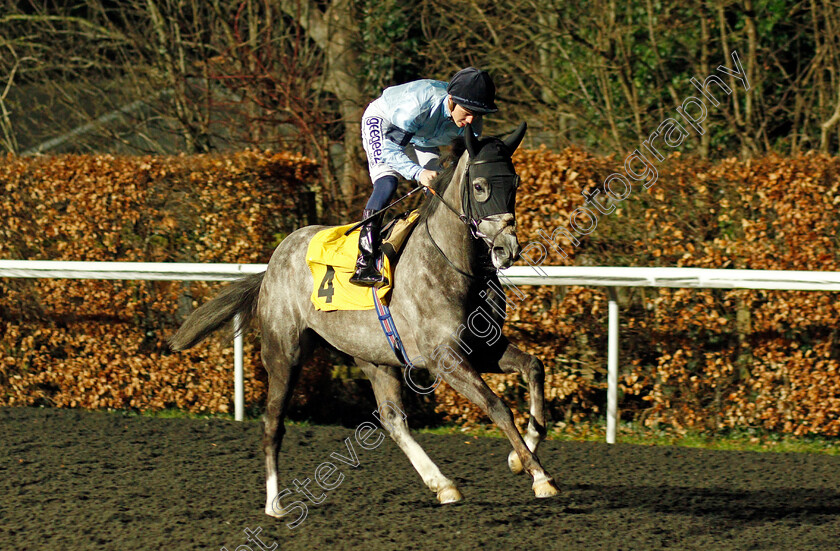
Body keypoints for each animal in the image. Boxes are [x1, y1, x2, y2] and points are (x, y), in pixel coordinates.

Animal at [170, 124, 556, 516]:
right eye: (479, 186)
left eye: (515, 183)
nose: (507, 249)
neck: (451, 264)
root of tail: (273, 262)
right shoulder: (444, 358)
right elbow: (497, 405)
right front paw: (538, 474)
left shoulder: (481, 347)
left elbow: (534, 367)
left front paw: (521, 453)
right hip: (284, 354)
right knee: (273, 424)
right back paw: (275, 503)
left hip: (374, 356)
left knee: (392, 419)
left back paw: (443, 484)